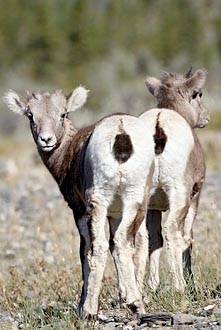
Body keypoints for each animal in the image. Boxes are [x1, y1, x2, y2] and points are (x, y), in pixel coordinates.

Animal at [4, 87, 155, 318]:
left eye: (63, 114)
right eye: (31, 116)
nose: (46, 140)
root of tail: (121, 131)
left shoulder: (79, 211)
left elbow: (85, 251)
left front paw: (82, 306)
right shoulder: (116, 214)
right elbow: (120, 248)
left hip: (98, 201)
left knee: (98, 249)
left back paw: (91, 311)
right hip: (136, 199)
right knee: (125, 243)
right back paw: (136, 303)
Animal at [139, 67, 210, 292]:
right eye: (198, 94)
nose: (206, 117)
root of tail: (158, 127)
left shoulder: (152, 207)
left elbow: (154, 240)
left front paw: (153, 286)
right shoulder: (194, 197)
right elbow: (187, 237)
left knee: (140, 236)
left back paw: (138, 290)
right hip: (179, 195)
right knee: (172, 231)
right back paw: (180, 286)